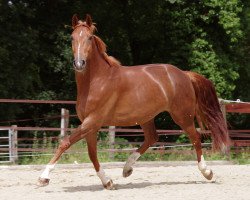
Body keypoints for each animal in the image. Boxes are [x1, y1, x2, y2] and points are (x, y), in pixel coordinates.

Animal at [37, 14, 230, 189]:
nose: (79, 63)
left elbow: (65, 143)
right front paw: (108, 182)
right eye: (72, 37)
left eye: (90, 37)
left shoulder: (92, 121)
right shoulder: (90, 125)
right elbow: (92, 154)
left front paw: (43, 177)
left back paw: (207, 172)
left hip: (182, 115)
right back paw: (127, 168)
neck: (97, 81)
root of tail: (184, 74)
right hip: (146, 117)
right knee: (152, 138)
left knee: (195, 137)